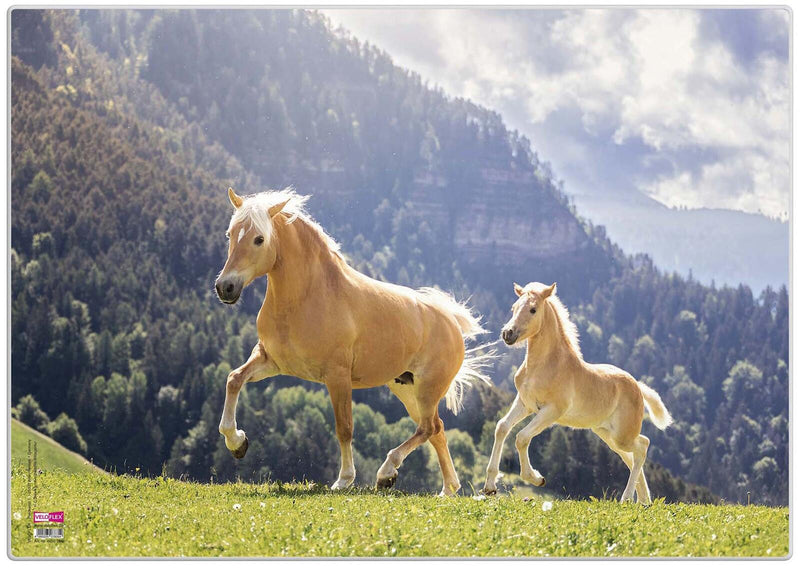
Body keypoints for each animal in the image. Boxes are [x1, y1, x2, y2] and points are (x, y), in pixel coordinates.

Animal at [214, 187, 493, 495]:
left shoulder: (337, 376)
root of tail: (453, 322)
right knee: (437, 429)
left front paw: (344, 480)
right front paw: (237, 442)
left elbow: (344, 428)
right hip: (407, 389)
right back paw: (447, 489)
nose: (225, 287)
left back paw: (387, 473)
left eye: (259, 239)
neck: (306, 297)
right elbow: (233, 379)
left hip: (427, 389)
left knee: (427, 428)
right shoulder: (270, 361)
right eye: (230, 233)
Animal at [483, 281, 673, 504]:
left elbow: (521, 437)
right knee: (631, 456)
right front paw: (489, 487)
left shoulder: (551, 411)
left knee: (643, 446)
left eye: (533, 309)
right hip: (607, 434)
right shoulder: (524, 403)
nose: (508, 334)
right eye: (513, 308)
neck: (544, 365)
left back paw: (627, 499)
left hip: (622, 435)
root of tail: (638, 386)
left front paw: (537, 478)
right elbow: (502, 427)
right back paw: (644, 501)